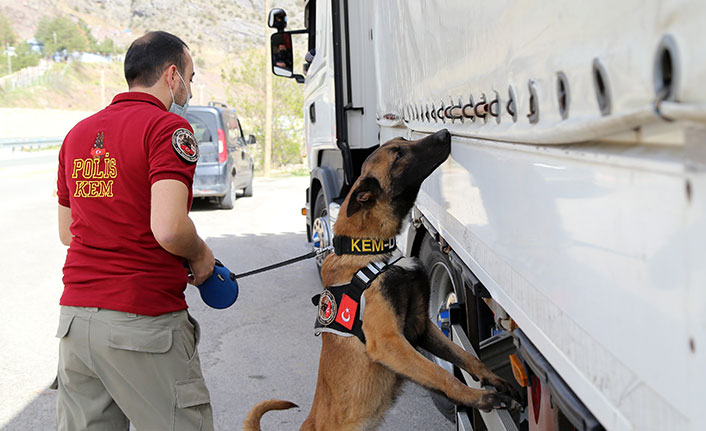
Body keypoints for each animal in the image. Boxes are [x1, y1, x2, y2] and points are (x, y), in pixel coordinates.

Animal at [242, 129, 516, 431]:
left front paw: (494, 380)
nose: (444, 133)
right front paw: (479, 398)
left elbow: (465, 356)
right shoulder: (388, 342)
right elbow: (442, 374)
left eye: (403, 142)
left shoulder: (420, 326)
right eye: (398, 154)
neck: (368, 250)